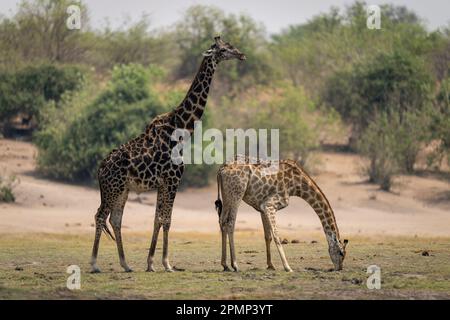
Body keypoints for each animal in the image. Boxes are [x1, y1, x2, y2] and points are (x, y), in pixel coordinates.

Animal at [90, 37, 246, 272]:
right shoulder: (173, 180)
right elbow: (167, 219)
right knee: (100, 215)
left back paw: (126, 264)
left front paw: (151, 263)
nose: (241, 54)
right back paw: (94, 264)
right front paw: (166, 263)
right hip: (112, 188)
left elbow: (158, 219)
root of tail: (100, 168)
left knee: (115, 219)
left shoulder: (163, 183)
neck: (182, 129)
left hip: (122, 189)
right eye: (223, 49)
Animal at [214, 158, 348, 272]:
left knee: (222, 222)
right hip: (237, 194)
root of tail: (221, 170)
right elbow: (276, 236)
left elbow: (267, 236)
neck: (296, 185)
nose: (339, 268)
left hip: (227, 196)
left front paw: (270, 265)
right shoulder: (269, 205)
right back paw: (235, 265)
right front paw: (287, 267)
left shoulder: (262, 207)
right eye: (341, 253)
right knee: (230, 223)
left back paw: (225, 265)